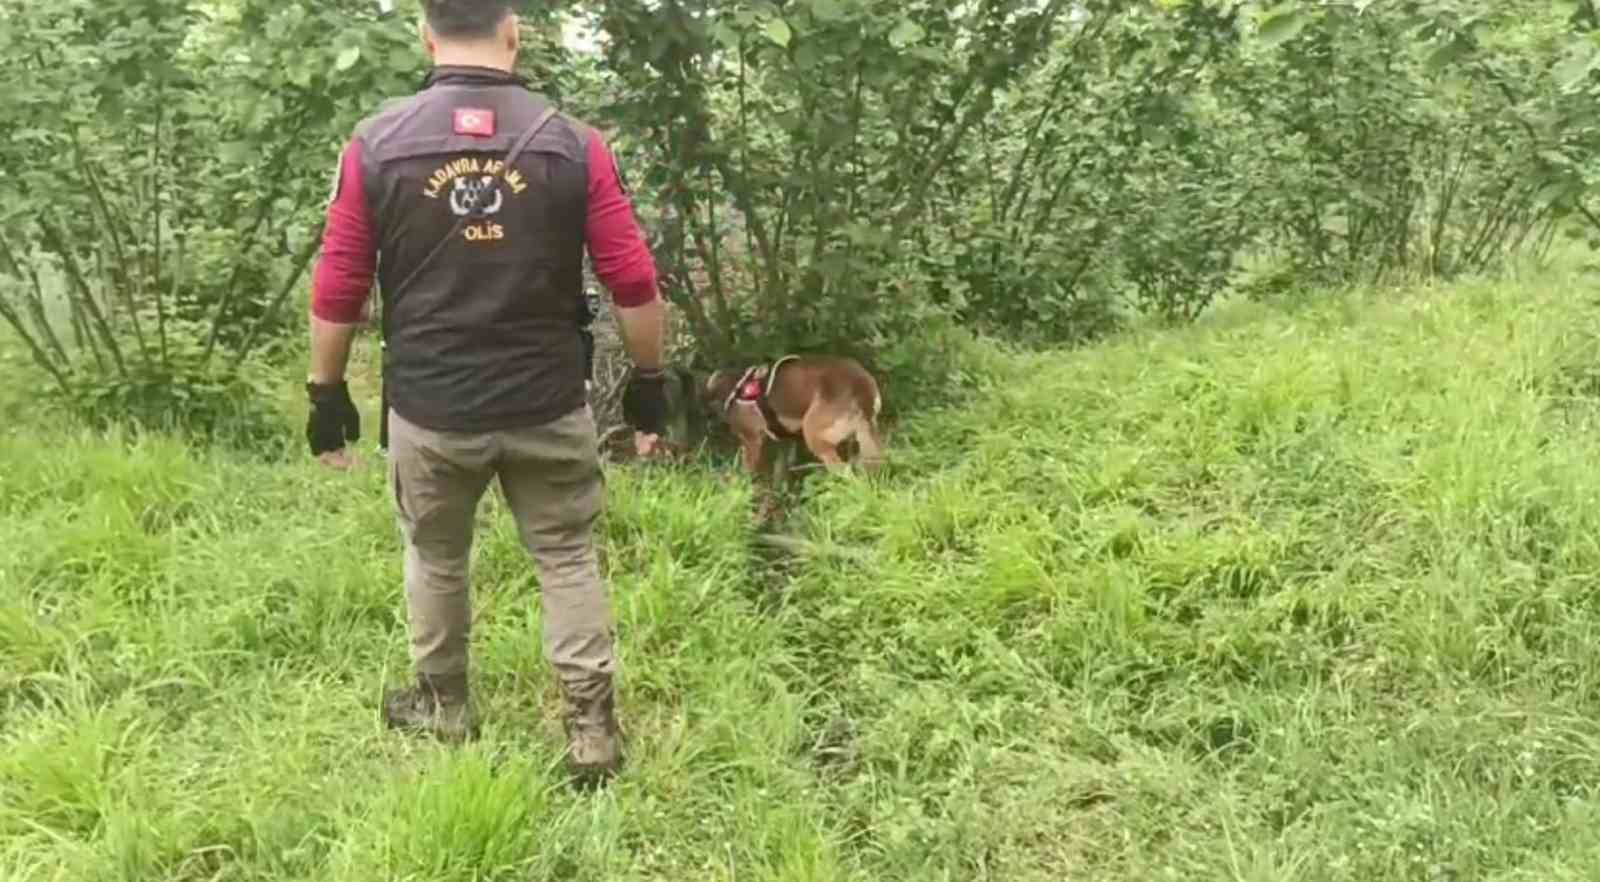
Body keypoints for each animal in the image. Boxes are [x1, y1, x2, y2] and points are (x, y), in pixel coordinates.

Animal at [704, 355, 889, 477]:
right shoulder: (784, 440)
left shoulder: (752, 440)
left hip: (813, 433)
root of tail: (860, 388)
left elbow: (747, 468)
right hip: (867, 433)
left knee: (844, 471)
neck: (735, 389)